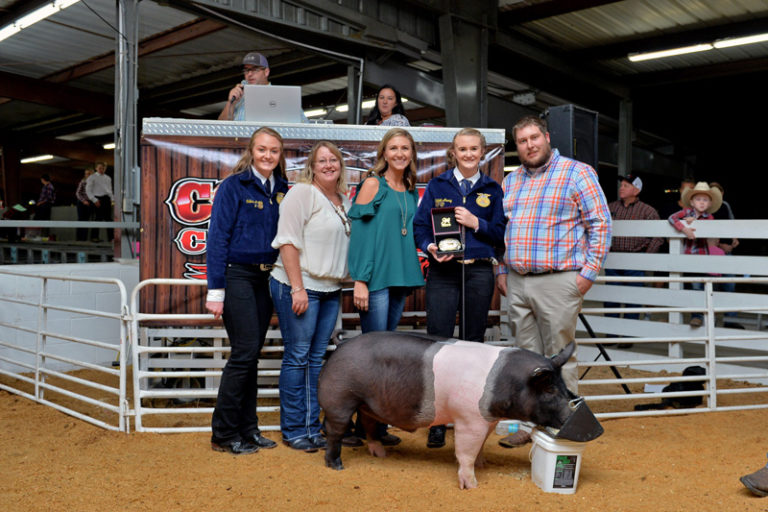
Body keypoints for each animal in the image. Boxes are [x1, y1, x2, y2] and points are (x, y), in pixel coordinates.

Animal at [316, 330, 592, 490]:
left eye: (563, 386)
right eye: (550, 390)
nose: (573, 418)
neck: (504, 383)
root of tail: (341, 344)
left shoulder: (487, 420)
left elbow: (480, 446)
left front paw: (483, 464)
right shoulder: (469, 419)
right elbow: (465, 451)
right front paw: (472, 486)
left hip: (368, 405)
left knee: (369, 424)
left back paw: (381, 454)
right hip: (339, 398)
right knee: (334, 431)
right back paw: (336, 465)